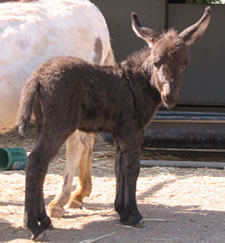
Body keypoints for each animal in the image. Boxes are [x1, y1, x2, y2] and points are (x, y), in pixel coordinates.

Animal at [16, 8, 210, 241]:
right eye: (156, 62)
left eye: (183, 64)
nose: (169, 97)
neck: (139, 83)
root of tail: (37, 76)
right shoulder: (134, 133)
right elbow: (132, 169)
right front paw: (134, 215)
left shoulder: (121, 135)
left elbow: (119, 168)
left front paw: (122, 211)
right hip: (59, 125)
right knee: (36, 161)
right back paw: (33, 226)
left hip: (43, 125)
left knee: (41, 164)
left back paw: (44, 220)